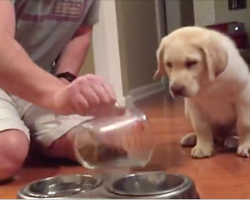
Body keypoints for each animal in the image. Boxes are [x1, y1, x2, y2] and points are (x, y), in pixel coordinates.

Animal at [154, 26, 250, 158]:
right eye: (168, 64)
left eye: (191, 63)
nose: (176, 89)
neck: (208, 83)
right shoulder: (194, 105)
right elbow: (201, 127)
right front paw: (203, 147)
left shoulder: (243, 98)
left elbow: (244, 124)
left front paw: (246, 145)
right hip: (187, 111)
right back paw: (192, 138)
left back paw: (233, 140)